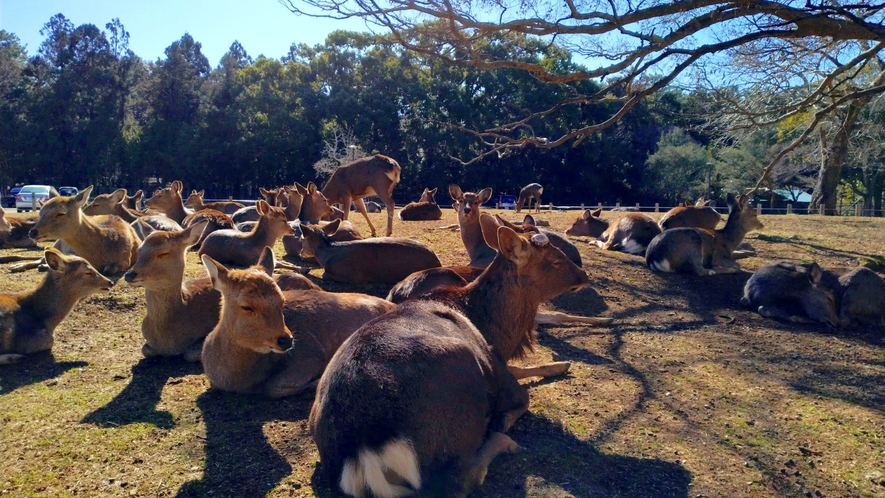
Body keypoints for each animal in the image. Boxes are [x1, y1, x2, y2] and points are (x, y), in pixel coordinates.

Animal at [202, 248, 396, 396]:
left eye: (282, 300)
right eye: (246, 306)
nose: (286, 340)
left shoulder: (310, 355)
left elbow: (273, 389)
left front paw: (316, 381)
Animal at [298, 219, 440, 284]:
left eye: (301, 239)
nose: (300, 253)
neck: (327, 255)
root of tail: (438, 262)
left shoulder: (355, 276)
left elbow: (324, 275)